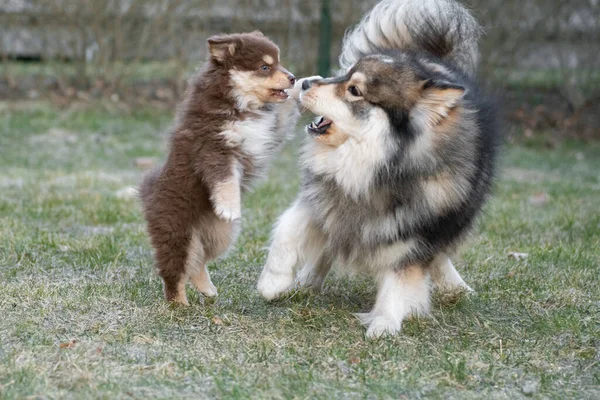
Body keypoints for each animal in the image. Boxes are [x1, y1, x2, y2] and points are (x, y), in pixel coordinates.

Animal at [141, 32, 300, 306]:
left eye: (278, 63)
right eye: (264, 67)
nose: (291, 77)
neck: (239, 105)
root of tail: (147, 195)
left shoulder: (268, 133)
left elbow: (284, 111)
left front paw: (304, 88)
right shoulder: (213, 147)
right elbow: (224, 178)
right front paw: (229, 206)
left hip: (221, 235)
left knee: (198, 261)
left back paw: (206, 289)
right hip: (177, 232)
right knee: (175, 271)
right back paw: (178, 304)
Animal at [255, 0, 500, 338]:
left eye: (355, 90)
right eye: (343, 75)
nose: (302, 82)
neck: (371, 168)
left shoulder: (414, 233)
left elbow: (400, 280)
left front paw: (385, 322)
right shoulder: (324, 198)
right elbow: (287, 231)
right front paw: (273, 282)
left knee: (437, 255)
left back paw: (454, 286)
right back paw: (307, 280)